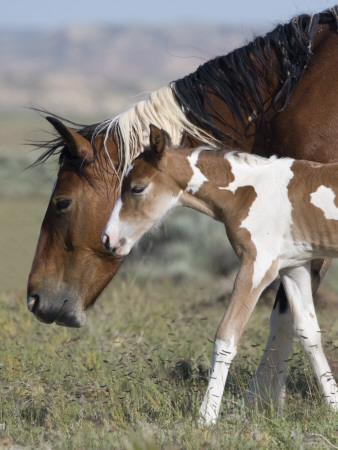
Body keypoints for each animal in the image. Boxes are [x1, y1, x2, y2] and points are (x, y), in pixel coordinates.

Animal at [102, 125, 338, 424]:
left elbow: (226, 336)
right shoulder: (293, 268)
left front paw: (206, 417)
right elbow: (309, 334)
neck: (249, 193)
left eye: (137, 188)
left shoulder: (256, 265)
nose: (108, 239)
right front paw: (334, 407)